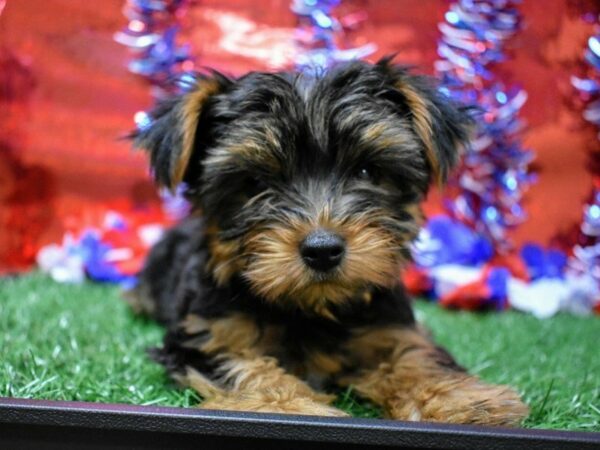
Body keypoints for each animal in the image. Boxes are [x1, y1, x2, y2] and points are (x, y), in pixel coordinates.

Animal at [127, 57, 528, 426]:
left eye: (366, 171)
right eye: (255, 183)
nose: (322, 250)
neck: (310, 308)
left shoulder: (390, 327)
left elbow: (414, 354)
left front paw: (459, 400)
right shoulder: (207, 335)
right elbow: (244, 365)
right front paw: (284, 406)